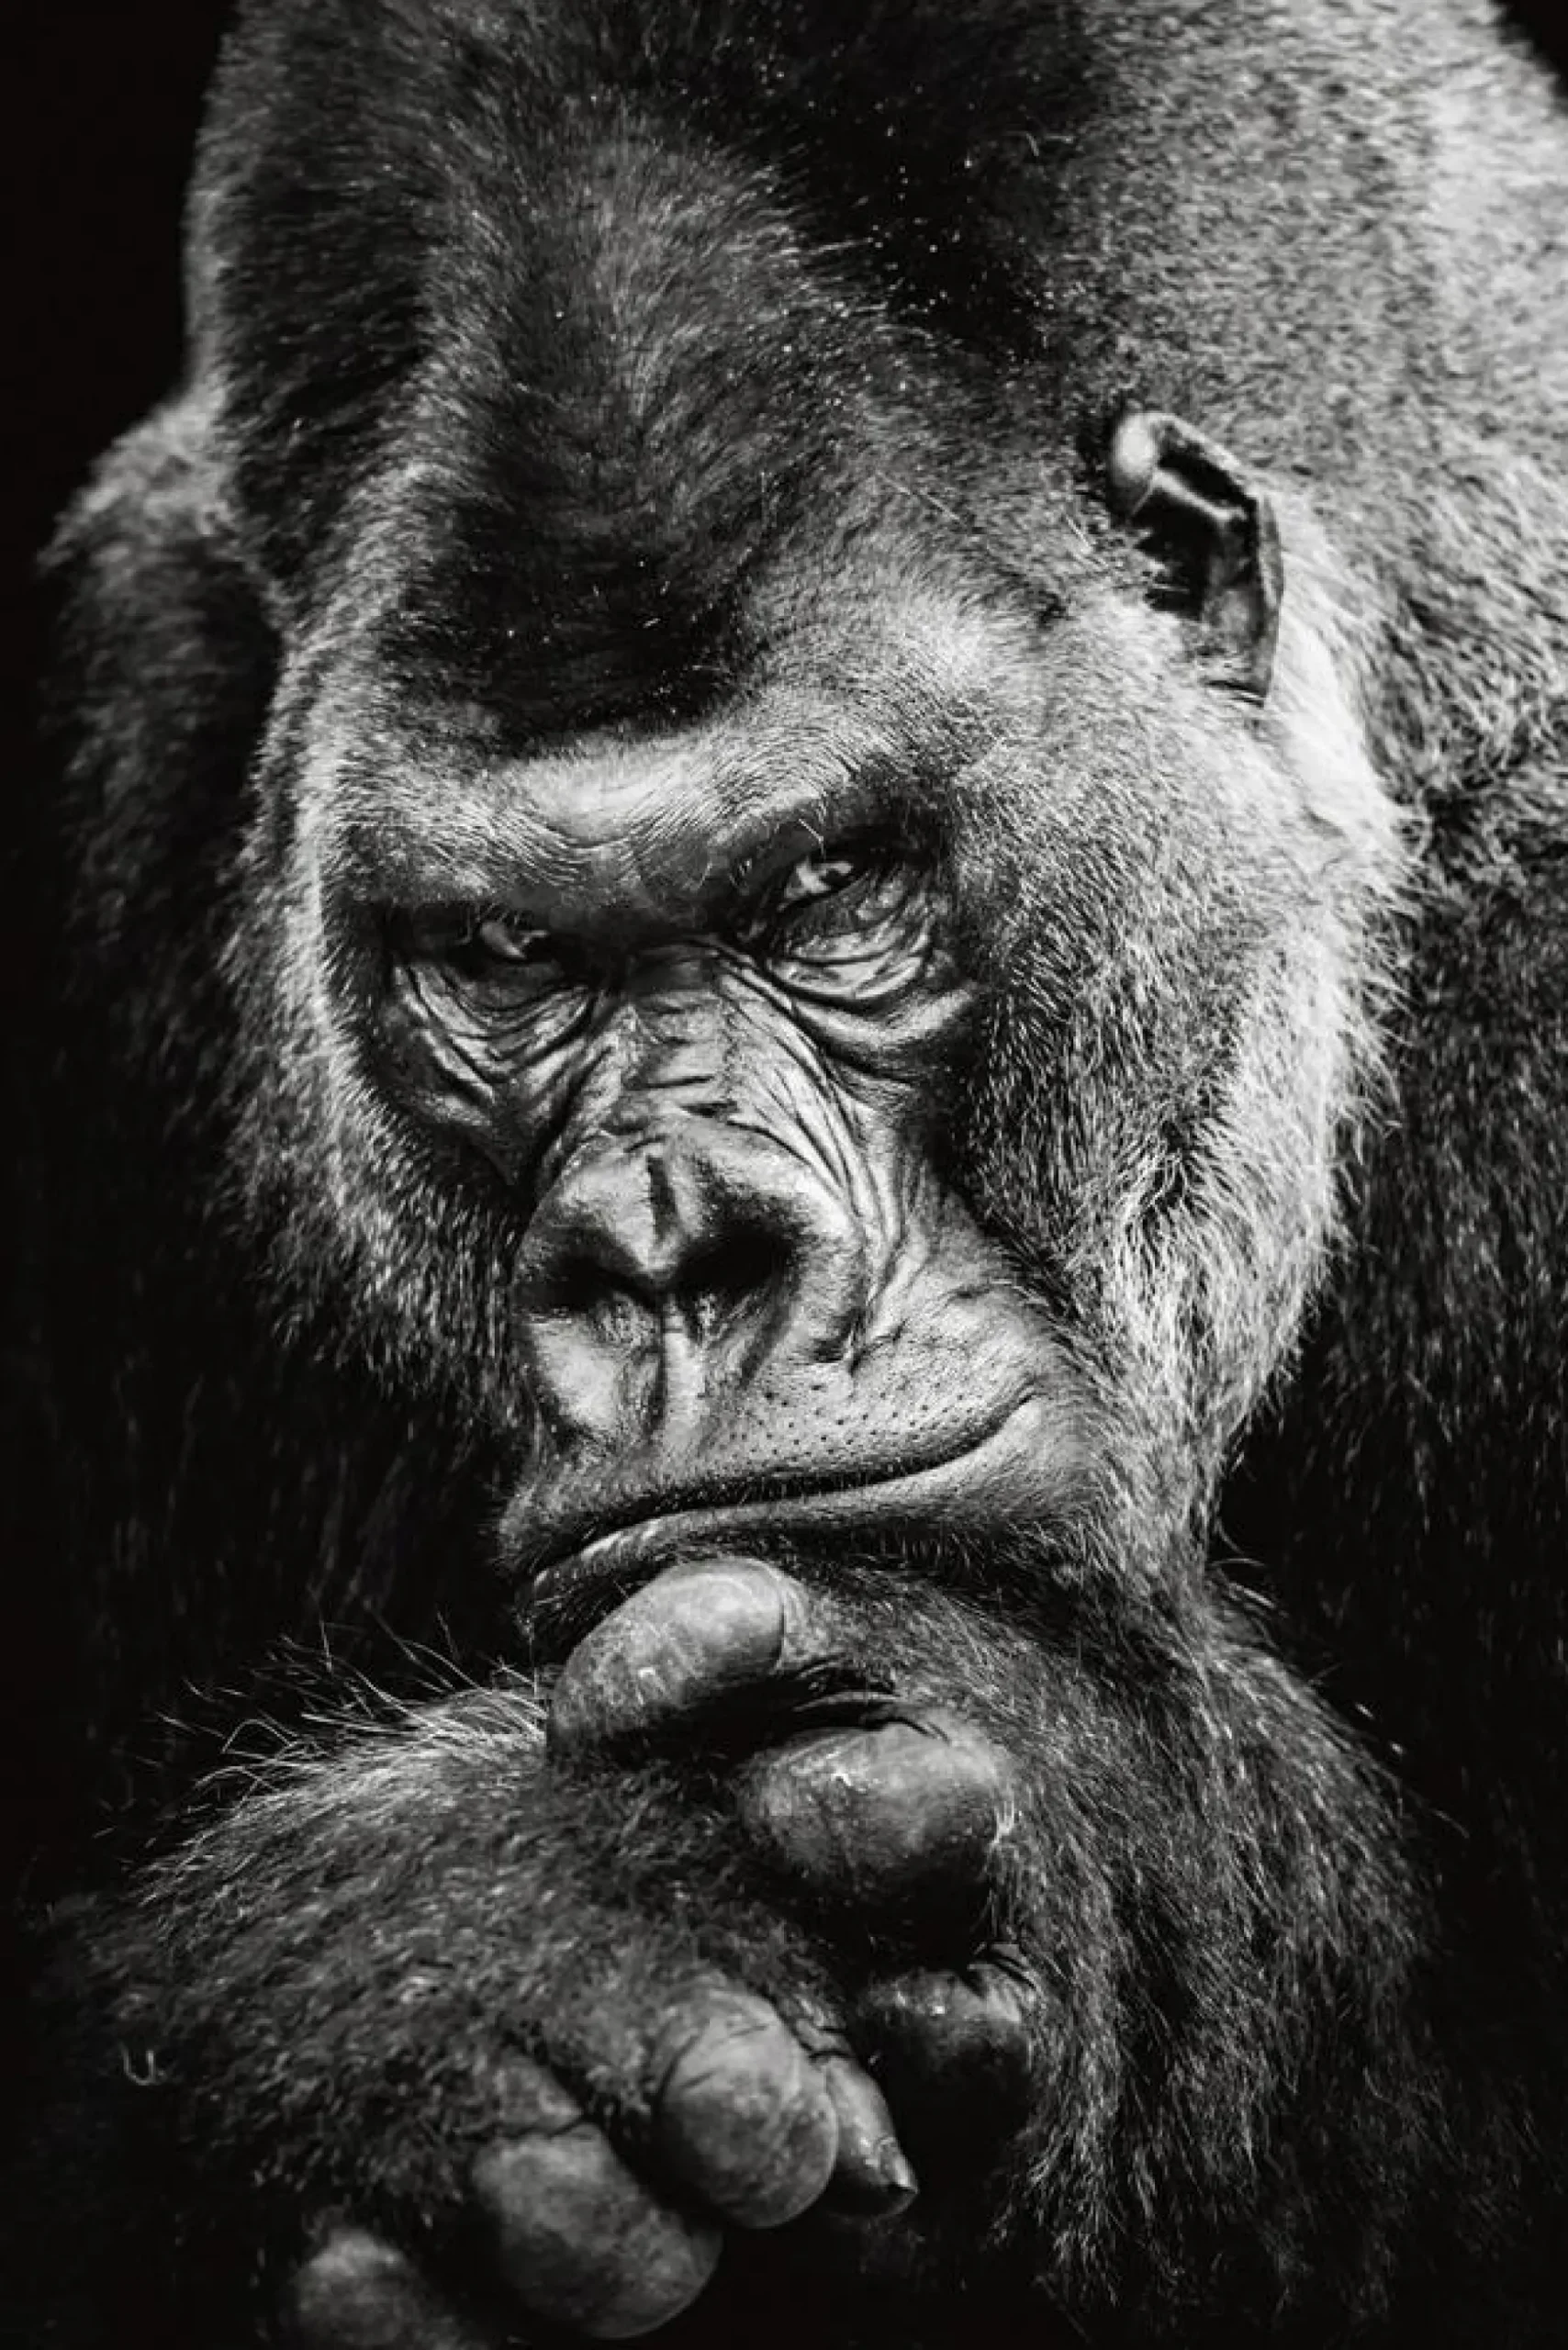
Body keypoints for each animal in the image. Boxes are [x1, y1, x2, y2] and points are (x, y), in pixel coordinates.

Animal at [8, 0, 1568, 2343]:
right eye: (501, 957)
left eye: (831, 890)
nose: (671, 1245)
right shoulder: (123, 753)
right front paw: (434, 1972)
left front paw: (1063, 1805)